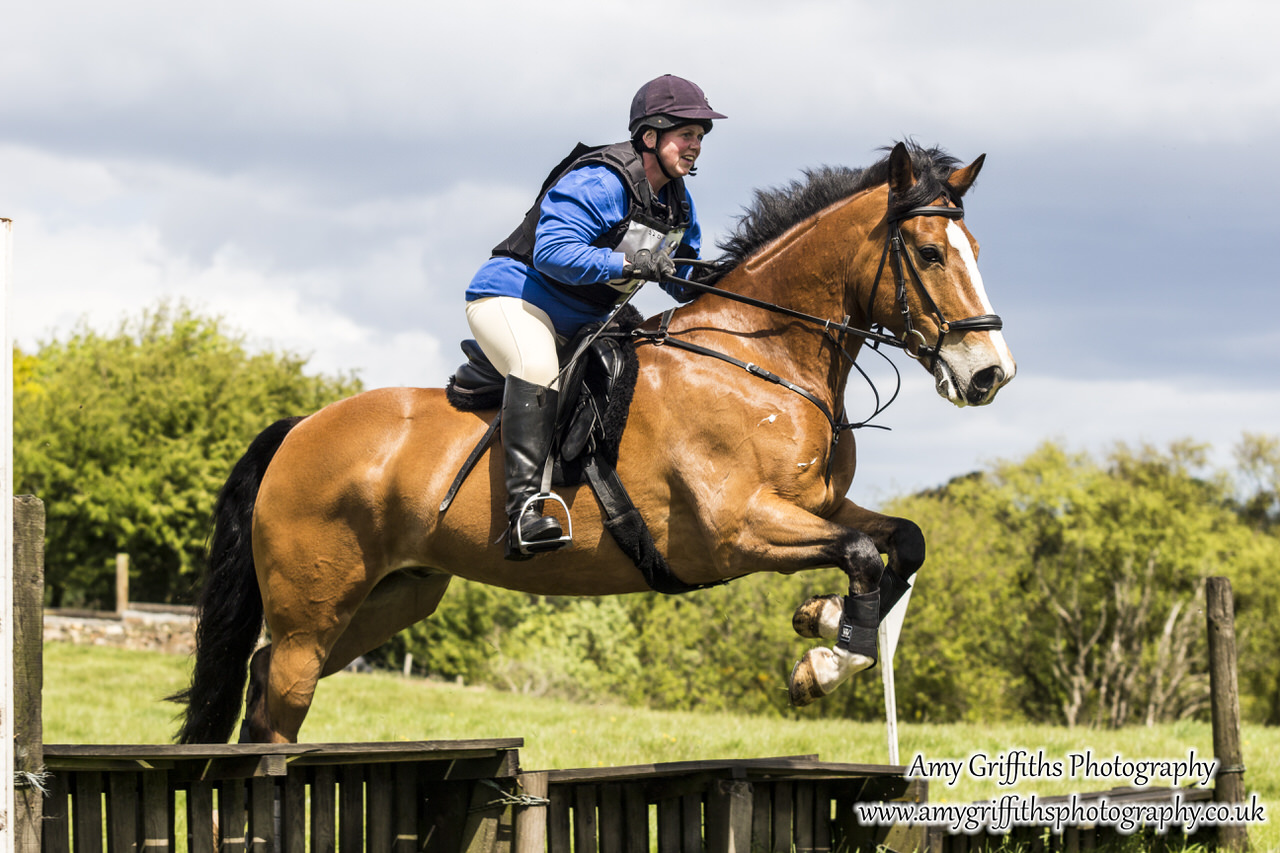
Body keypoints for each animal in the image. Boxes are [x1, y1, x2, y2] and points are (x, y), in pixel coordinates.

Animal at [170, 137, 1013, 737]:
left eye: (978, 252)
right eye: (930, 253)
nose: (989, 374)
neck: (762, 360)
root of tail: (299, 428)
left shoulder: (817, 507)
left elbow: (901, 542)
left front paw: (827, 627)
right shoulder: (737, 529)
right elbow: (866, 552)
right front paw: (826, 658)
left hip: (387, 598)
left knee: (264, 683)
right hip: (313, 607)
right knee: (276, 705)